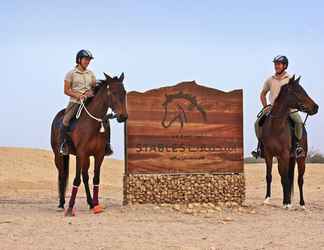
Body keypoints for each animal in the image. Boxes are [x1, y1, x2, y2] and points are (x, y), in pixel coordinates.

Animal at [50, 73, 127, 217]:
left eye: (124, 92)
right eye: (113, 93)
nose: (123, 116)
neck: (92, 124)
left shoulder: (98, 155)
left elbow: (95, 179)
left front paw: (96, 205)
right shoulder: (81, 153)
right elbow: (76, 180)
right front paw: (70, 208)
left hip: (84, 158)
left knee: (85, 176)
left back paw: (90, 203)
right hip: (59, 155)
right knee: (62, 175)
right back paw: (62, 204)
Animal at [260, 75, 318, 208]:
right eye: (298, 91)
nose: (316, 107)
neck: (276, 127)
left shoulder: (284, 155)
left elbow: (287, 179)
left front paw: (287, 203)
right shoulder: (269, 155)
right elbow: (270, 176)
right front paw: (267, 198)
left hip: (301, 158)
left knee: (300, 180)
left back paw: (301, 204)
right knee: (285, 177)